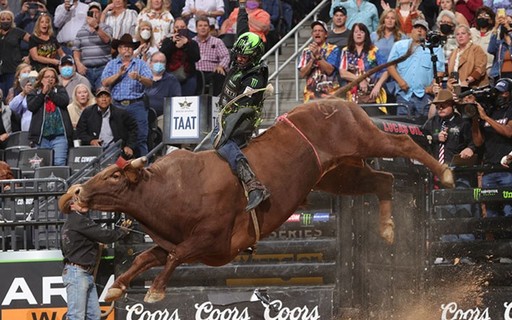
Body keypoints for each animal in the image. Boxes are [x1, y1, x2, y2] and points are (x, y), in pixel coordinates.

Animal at [58, 99, 454, 304]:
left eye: (113, 177)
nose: (74, 195)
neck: (172, 188)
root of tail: (339, 100)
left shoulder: (210, 239)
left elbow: (175, 256)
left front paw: (154, 292)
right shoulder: (170, 238)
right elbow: (146, 257)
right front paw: (115, 288)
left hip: (363, 137)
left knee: (401, 145)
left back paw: (446, 173)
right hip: (340, 174)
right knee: (384, 179)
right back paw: (387, 228)